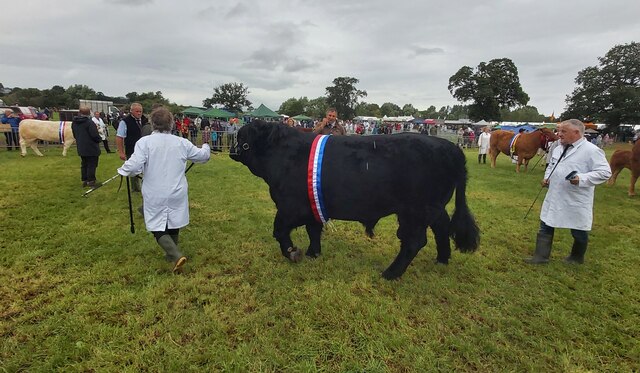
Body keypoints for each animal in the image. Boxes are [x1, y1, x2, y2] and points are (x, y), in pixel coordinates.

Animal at [231, 120, 480, 278]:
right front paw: (313, 253)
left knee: (414, 241)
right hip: (433, 207)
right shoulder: (312, 204)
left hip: (415, 211)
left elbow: (279, 230)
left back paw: (390, 273)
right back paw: (442, 259)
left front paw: (293, 253)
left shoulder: (289, 206)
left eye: (241, 136)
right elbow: (313, 230)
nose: (232, 150)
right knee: (442, 228)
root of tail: (452, 147)